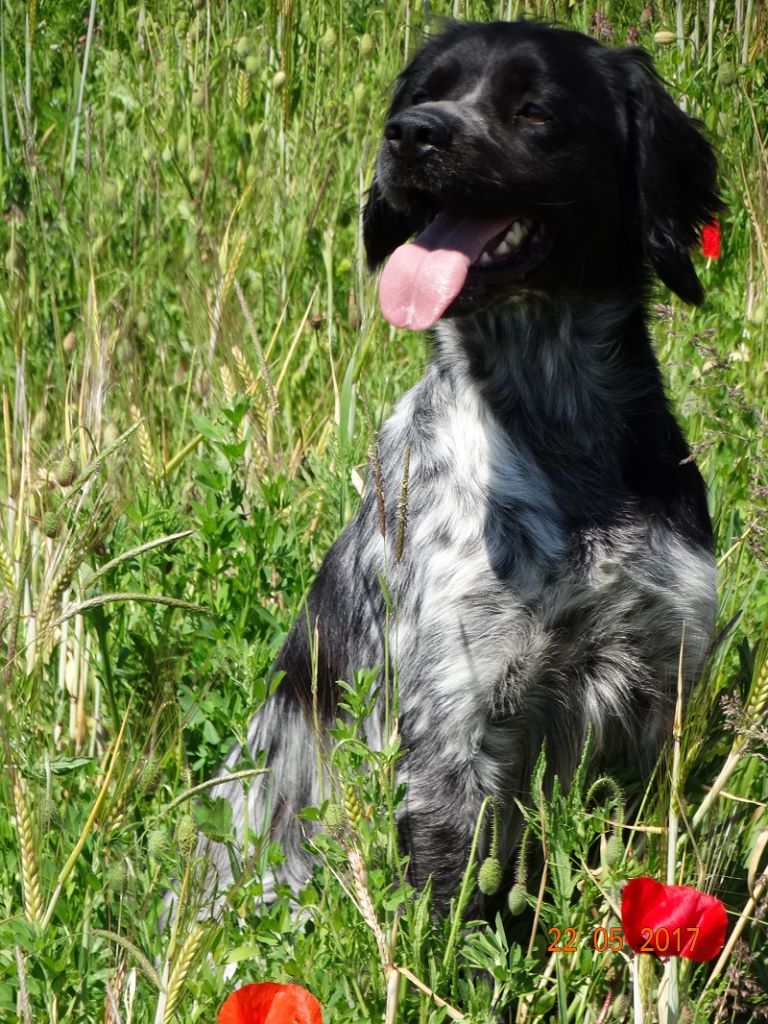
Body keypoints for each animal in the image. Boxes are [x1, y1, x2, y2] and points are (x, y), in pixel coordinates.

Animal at [196, 19, 720, 917]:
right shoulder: (454, 729)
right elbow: (453, 912)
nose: (410, 136)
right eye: (420, 95)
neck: (556, 430)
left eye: (535, 109)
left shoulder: (657, 686)